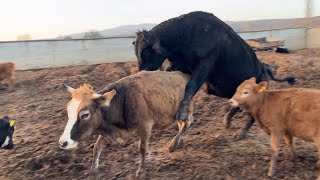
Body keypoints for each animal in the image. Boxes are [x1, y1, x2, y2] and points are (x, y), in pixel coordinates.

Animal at [59, 70, 195, 177]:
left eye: (84, 115)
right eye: (68, 110)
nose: (62, 143)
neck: (122, 102)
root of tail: (183, 75)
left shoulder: (145, 127)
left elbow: (142, 148)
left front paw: (141, 171)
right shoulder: (108, 129)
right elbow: (97, 146)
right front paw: (93, 169)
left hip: (185, 109)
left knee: (187, 123)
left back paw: (173, 144)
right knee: (181, 125)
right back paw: (179, 142)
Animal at [132, 10, 296, 141]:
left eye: (146, 53)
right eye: (136, 53)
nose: (141, 71)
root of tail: (265, 68)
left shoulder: (205, 65)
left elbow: (191, 86)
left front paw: (182, 113)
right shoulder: (180, 66)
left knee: (251, 116)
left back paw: (240, 134)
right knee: (237, 104)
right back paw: (227, 121)